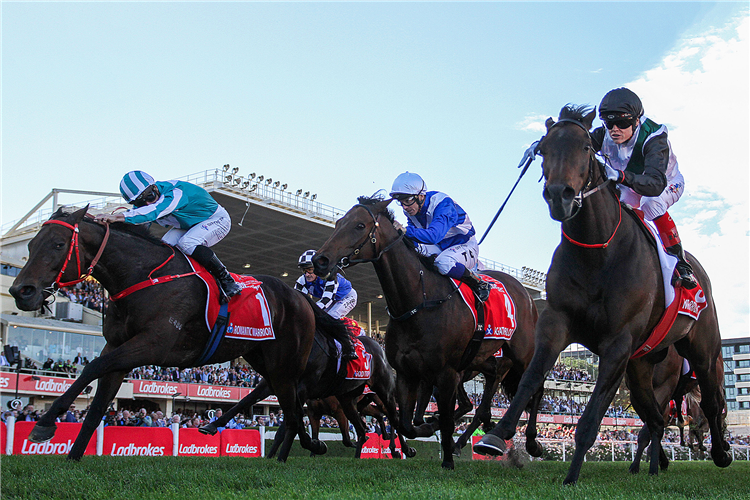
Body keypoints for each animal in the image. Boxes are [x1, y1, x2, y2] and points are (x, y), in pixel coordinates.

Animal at [8, 206, 344, 460]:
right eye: (30, 245)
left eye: (58, 244)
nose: (21, 291)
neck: (143, 276)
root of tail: (301, 298)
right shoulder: (117, 348)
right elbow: (97, 404)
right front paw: (73, 456)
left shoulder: (151, 345)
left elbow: (90, 367)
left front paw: (45, 423)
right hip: (261, 357)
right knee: (285, 405)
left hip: (286, 364)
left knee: (293, 411)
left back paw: (300, 449)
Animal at [314, 195, 544, 468]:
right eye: (339, 222)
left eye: (360, 225)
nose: (320, 260)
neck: (418, 303)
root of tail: (527, 295)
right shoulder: (408, 374)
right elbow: (407, 422)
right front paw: (426, 429)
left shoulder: (446, 373)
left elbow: (442, 419)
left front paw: (447, 460)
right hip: (488, 363)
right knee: (485, 399)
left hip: (521, 355)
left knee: (534, 388)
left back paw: (530, 442)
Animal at [476, 106, 736, 484]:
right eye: (543, 150)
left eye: (586, 147)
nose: (560, 195)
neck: (598, 253)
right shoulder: (556, 323)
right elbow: (530, 379)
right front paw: (497, 435)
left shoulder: (618, 343)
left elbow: (593, 413)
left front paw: (571, 476)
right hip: (641, 367)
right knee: (654, 419)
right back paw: (653, 467)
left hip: (702, 348)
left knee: (712, 401)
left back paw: (720, 452)